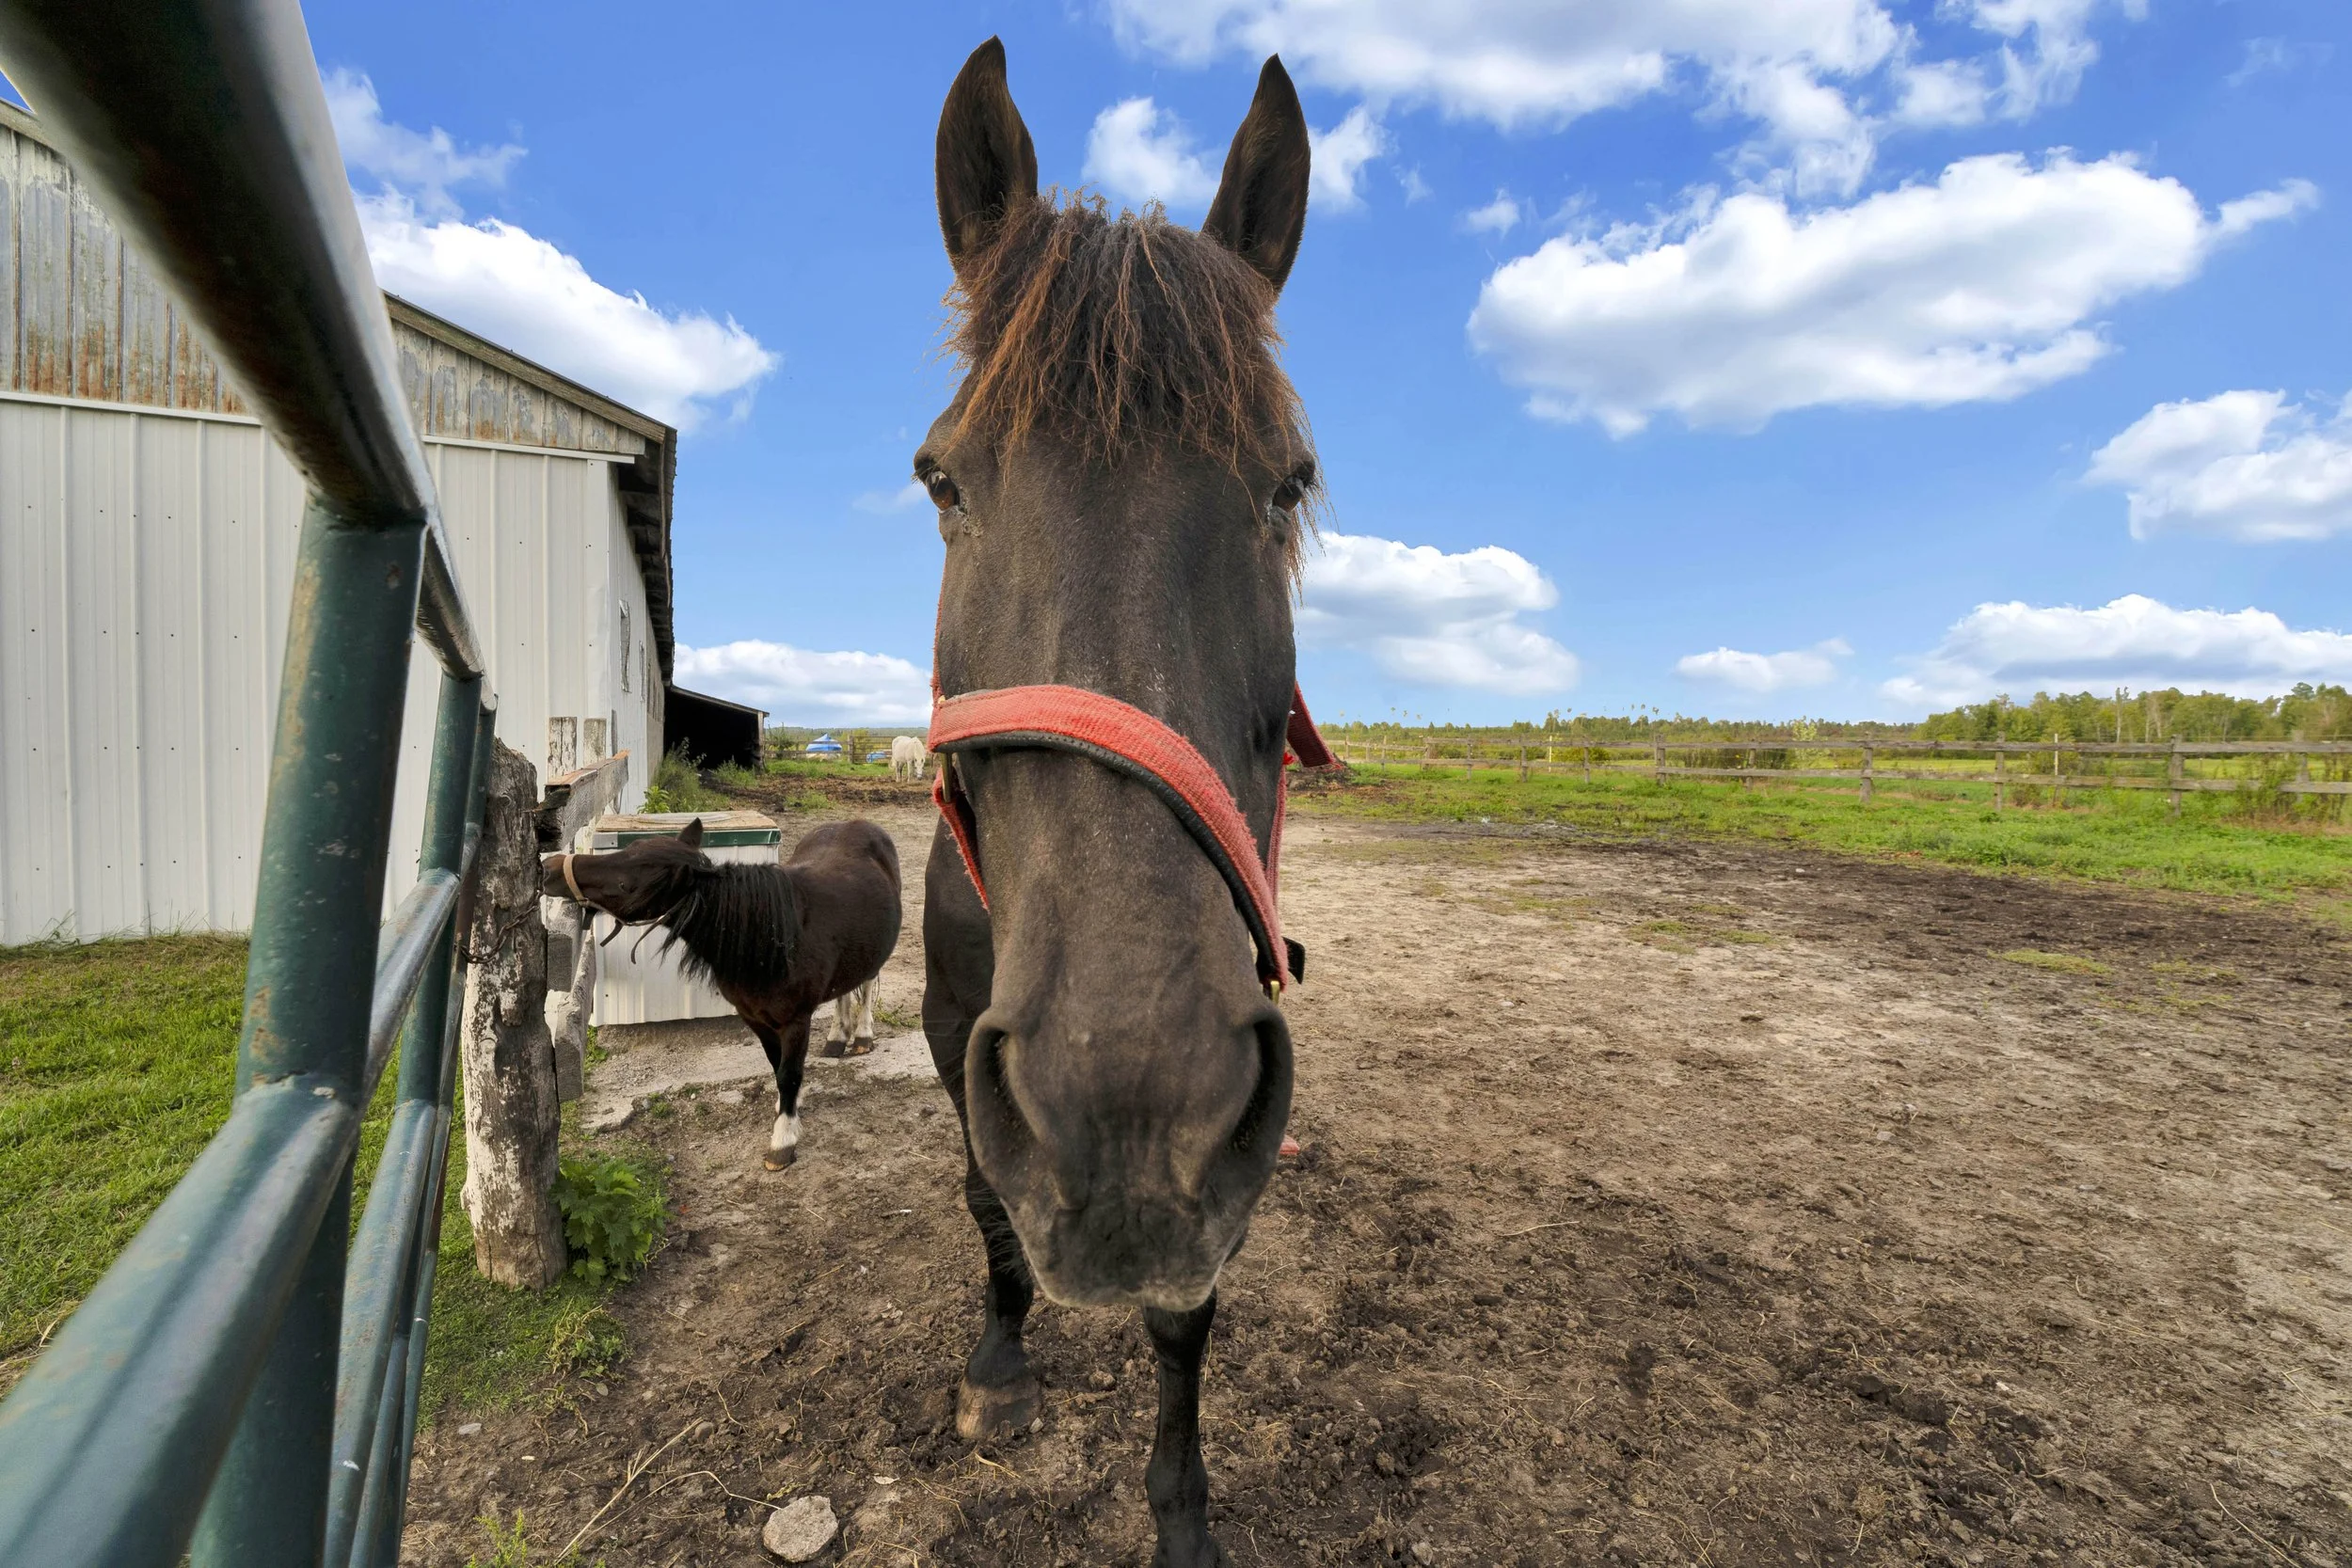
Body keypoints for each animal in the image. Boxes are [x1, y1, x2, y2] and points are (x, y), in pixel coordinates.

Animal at [541, 816, 902, 1170]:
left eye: (625, 885)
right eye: (628, 849)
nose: (551, 868)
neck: (772, 940)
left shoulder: (796, 1021)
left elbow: (789, 1074)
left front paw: (783, 1141)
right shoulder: (755, 1019)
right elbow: (777, 1066)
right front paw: (788, 1107)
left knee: (865, 986)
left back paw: (862, 1036)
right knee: (843, 991)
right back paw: (837, 1038)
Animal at [916, 40, 1318, 1568]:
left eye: (1288, 486)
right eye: (942, 480)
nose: (1131, 1107)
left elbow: (1184, 1310)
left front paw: (1182, 1513)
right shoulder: (953, 1028)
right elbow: (987, 1198)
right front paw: (996, 1370)